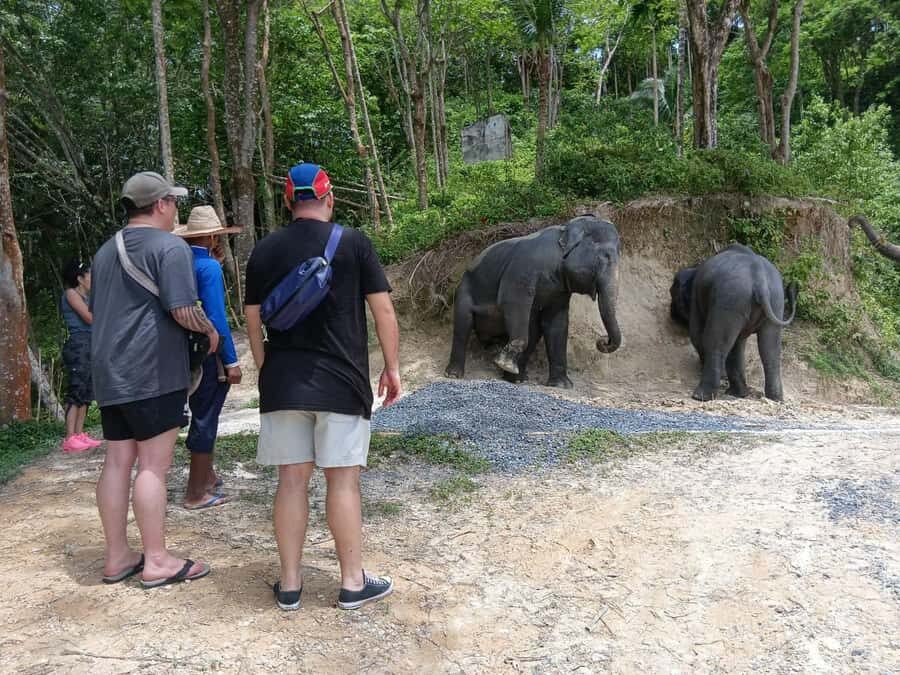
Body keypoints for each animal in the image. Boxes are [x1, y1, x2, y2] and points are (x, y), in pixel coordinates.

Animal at [445, 215, 622, 388]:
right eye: (605, 258)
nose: (602, 341)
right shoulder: (523, 270)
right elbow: (512, 303)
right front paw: (504, 363)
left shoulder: (560, 290)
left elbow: (556, 322)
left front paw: (562, 385)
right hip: (464, 290)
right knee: (463, 325)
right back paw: (454, 374)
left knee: (533, 329)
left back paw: (516, 378)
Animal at [670, 243, 798, 401]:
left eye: (672, 293)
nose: (671, 314)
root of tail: (759, 279)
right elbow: (737, 344)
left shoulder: (697, 297)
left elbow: (696, 334)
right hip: (774, 301)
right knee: (770, 348)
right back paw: (772, 398)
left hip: (731, 299)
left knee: (715, 342)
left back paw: (700, 396)